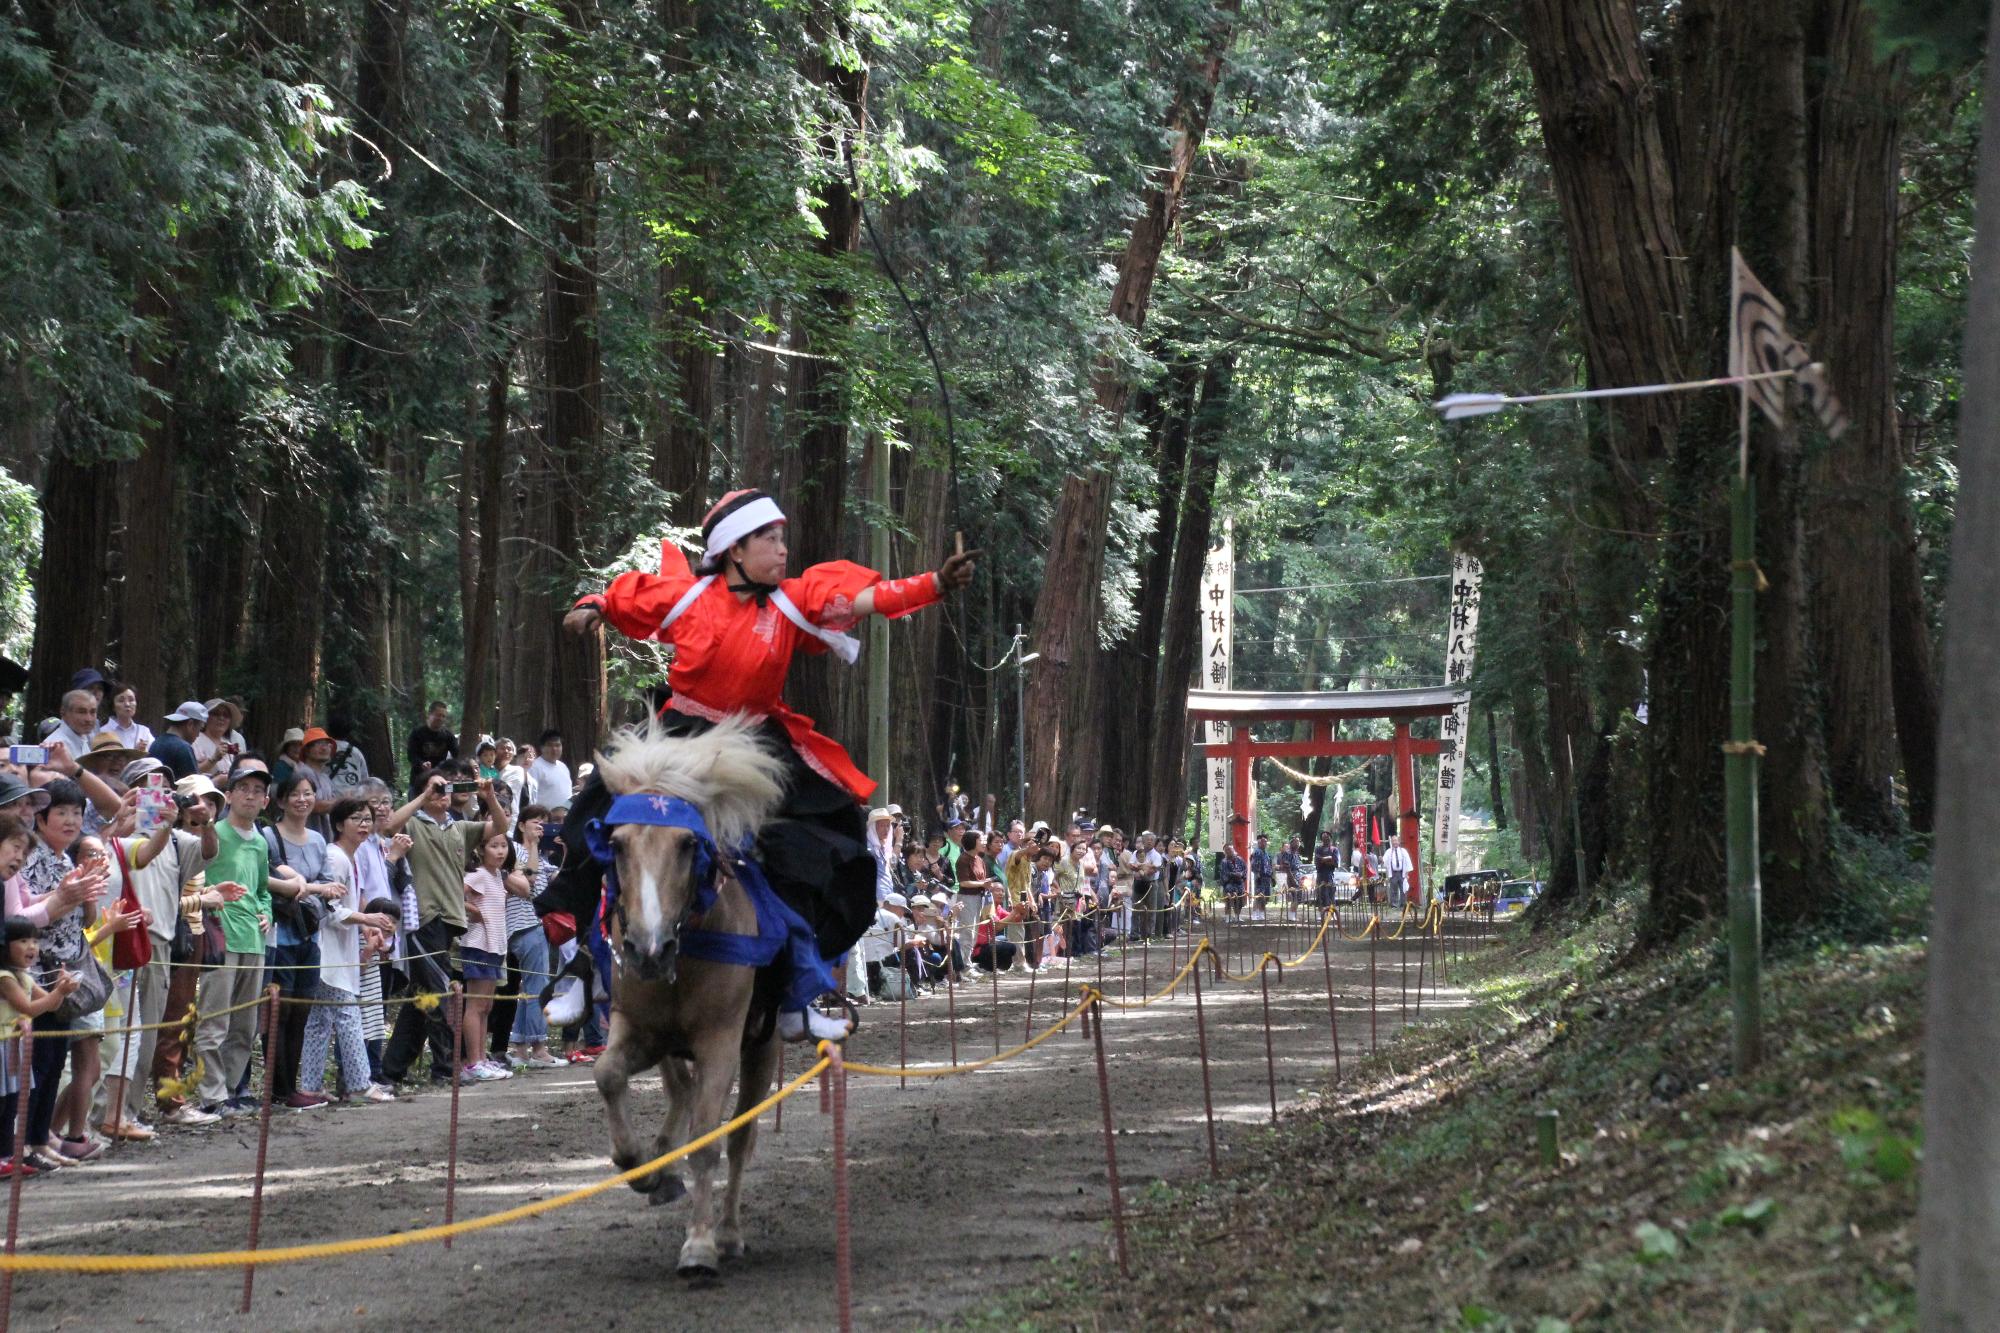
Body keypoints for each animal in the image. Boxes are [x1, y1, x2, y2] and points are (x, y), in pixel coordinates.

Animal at [584, 716, 788, 1280]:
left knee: (740, 1134)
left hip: (761, 1044)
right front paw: (639, 1166)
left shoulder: (720, 1039)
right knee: (680, 1090)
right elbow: (608, 1074)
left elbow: (710, 1138)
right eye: (618, 844)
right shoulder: (638, 1027)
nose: (648, 948)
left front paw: (700, 1244)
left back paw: (729, 1232)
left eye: (686, 845)